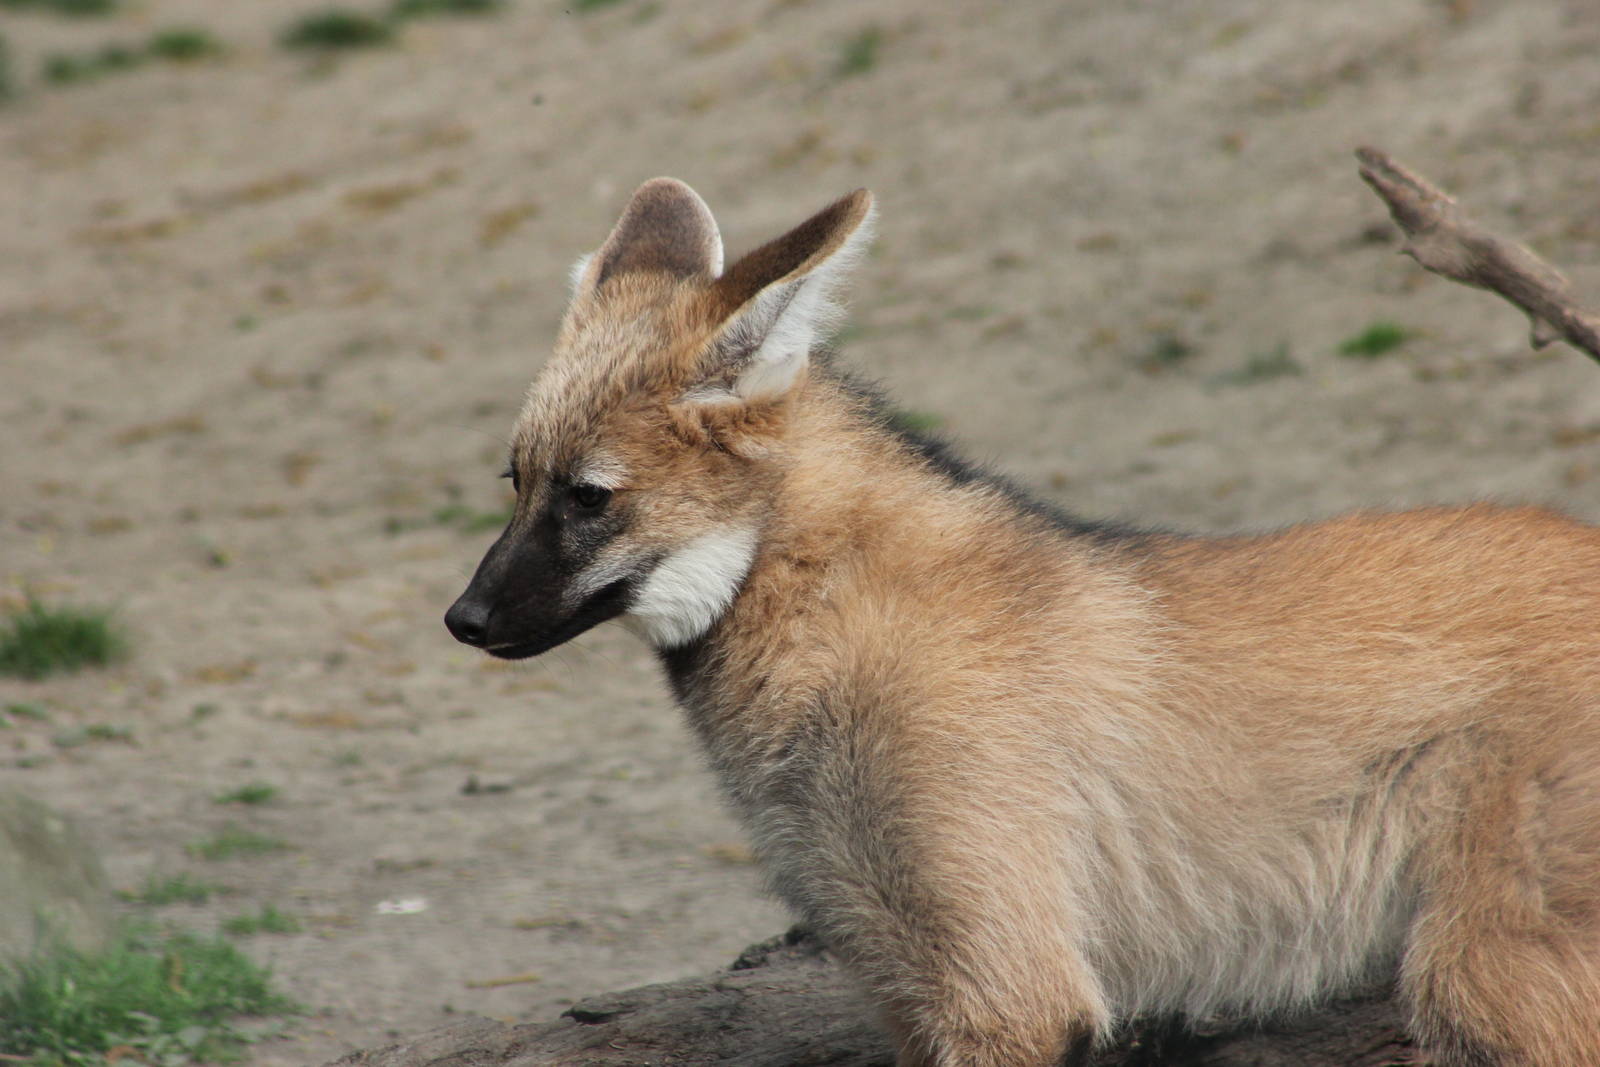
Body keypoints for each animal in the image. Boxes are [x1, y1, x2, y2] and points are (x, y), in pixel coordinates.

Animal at [445, 178, 1600, 1066]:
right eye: (515, 480)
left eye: (588, 497)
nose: (462, 619)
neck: (828, 617)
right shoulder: (911, 983)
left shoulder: (1007, 988)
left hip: (1480, 971)